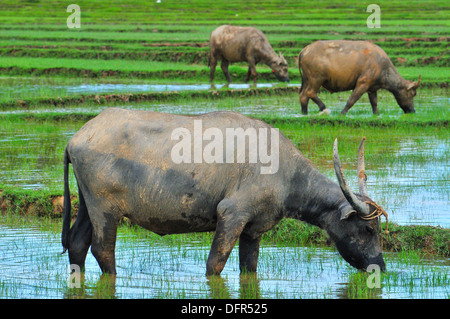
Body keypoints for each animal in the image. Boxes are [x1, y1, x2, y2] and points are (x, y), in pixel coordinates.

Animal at [62, 109, 386, 276]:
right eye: (368, 230)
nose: (380, 266)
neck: (285, 172)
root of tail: (78, 137)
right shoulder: (232, 216)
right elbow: (215, 264)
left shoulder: (253, 229)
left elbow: (249, 267)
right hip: (106, 210)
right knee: (103, 250)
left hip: (87, 205)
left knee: (77, 244)